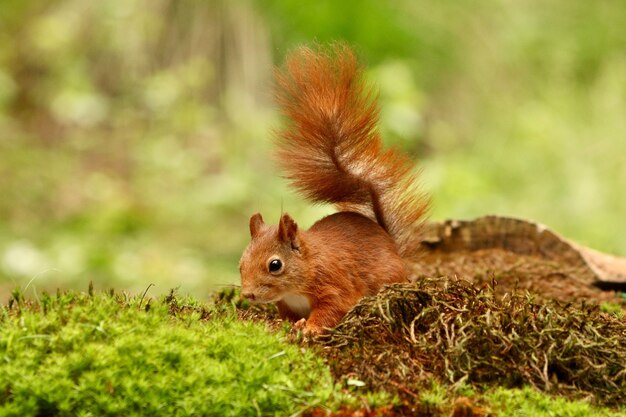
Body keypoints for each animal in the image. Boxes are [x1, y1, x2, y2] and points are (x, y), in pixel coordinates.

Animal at [236, 44, 426, 334]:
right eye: (241, 263)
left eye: (275, 265)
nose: (248, 295)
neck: (307, 266)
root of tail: (389, 240)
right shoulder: (286, 303)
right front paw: (283, 325)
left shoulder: (335, 286)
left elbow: (331, 310)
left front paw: (309, 328)